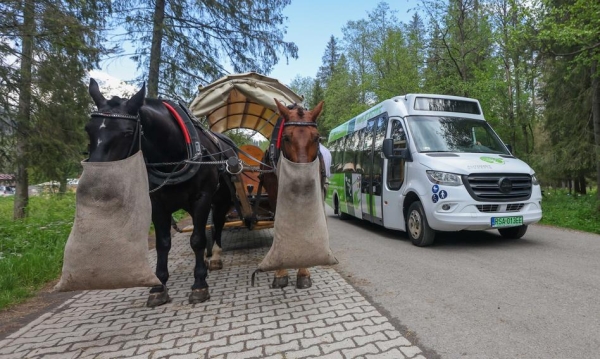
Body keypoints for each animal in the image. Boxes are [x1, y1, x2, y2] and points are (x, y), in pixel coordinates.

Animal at [87, 79, 237, 306]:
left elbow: (197, 239)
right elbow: (163, 243)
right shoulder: (156, 203)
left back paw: (216, 257)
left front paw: (199, 284)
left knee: (217, 224)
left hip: (221, 199)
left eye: (127, 132)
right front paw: (159, 286)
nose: (95, 182)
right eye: (88, 130)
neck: (175, 155)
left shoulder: (202, 198)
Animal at [258, 98, 324, 290]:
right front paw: (281, 272)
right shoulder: (275, 196)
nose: (303, 180)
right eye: (286, 138)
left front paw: (303, 271)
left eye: (316, 138)